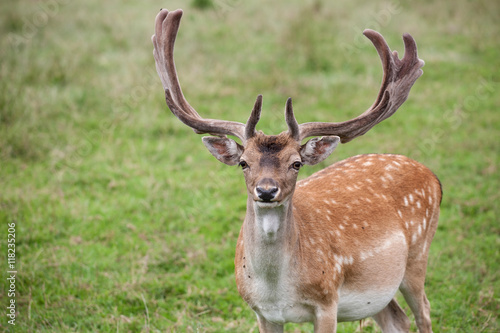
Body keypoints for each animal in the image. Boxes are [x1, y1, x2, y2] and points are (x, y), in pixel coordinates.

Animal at [151, 8, 442, 332]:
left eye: (296, 163)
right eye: (244, 162)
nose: (266, 190)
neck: (277, 289)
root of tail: (432, 176)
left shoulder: (327, 301)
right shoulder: (261, 312)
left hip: (418, 255)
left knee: (424, 311)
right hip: (378, 291)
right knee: (397, 319)